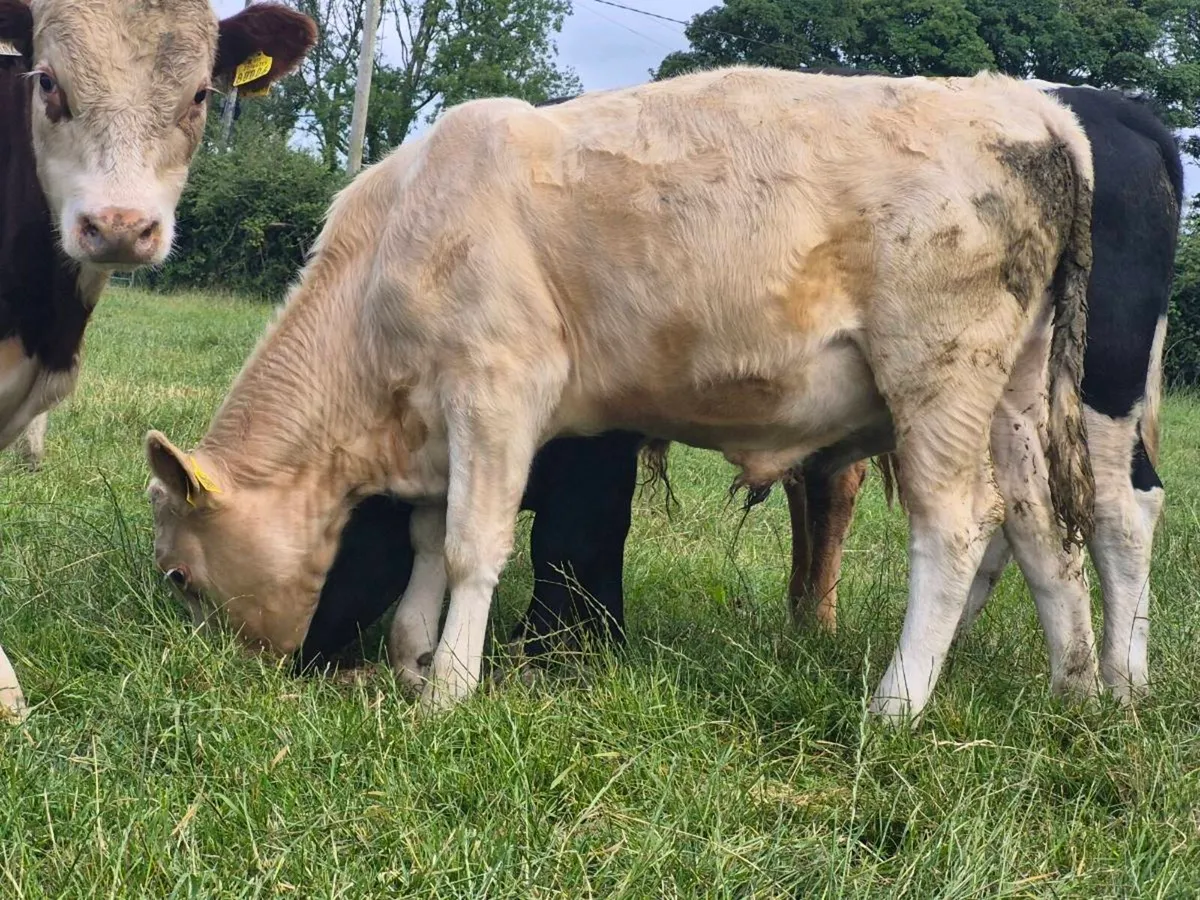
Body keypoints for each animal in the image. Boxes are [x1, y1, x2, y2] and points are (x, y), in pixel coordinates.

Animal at [146, 66, 1096, 722]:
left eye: (180, 577)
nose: (220, 676)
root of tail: (1027, 104)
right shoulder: (437, 419)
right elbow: (425, 540)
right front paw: (412, 660)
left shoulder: (499, 387)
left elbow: (469, 544)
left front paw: (448, 688)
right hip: (1014, 396)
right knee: (1044, 532)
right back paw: (1079, 693)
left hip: (940, 370)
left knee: (956, 527)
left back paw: (895, 706)